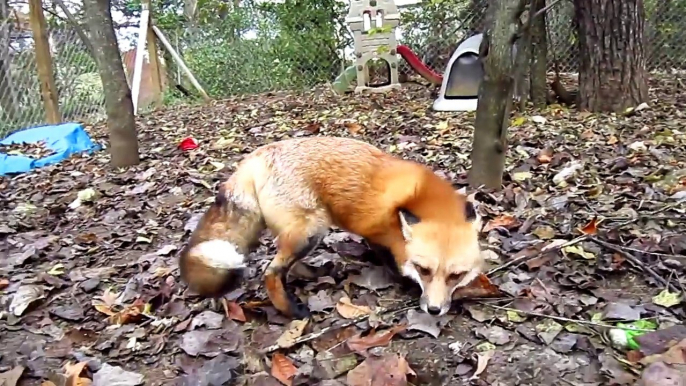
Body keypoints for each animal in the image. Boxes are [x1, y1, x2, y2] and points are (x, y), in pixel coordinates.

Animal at [180, 137, 486, 318]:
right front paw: (406, 283)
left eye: (456, 275)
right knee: (271, 272)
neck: (422, 198)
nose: (434, 310)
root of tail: (255, 156)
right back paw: (290, 310)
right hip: (312, 229)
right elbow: (394, 265)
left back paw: (316, 274)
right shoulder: (378, 232)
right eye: (424, 270)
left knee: (289, 266)